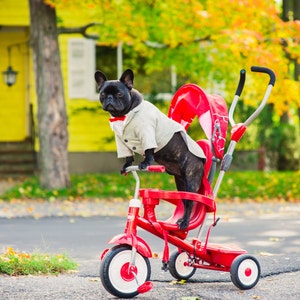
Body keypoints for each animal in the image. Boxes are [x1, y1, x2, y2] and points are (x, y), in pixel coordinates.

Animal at [94, 69, 206, 230]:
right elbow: (128, 155)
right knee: (185, 202)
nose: (109, 98)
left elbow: (148, 150)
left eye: (119, 94)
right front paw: (126, 165)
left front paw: (145, 163)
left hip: (191, 180)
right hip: (180, 183)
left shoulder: (146, 132)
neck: (125, 115)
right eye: (103, 94)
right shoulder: (121, 141)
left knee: (191, 202)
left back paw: (184, 222)